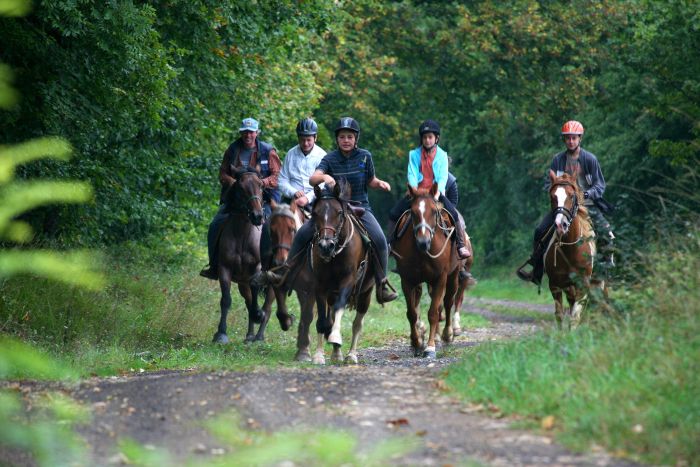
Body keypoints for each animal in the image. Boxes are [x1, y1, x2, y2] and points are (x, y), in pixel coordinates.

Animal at [212, 168, 270, 344]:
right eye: (241, 188)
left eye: (261, 185)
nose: (257, 216)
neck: (243, 235)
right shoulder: (224, 268)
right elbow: (226, 300)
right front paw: (221, 334)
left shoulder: (257, 269)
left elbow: (256, 295)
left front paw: (258, 315)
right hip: (242, 282)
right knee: (249, 300)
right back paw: (250, 336)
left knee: (268, 304)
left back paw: (259, 335)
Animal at [308, 183, 374, 366]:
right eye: (315, 213)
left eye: (338, 213)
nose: (325, 245)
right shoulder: (320, 285)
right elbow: (322, 321)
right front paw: (318, 355)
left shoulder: (348, 281)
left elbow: (339, 309)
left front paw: (336, 337)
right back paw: (336, 353)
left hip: (366, 293)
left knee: (357, 324)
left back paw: (351, 355)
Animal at [392, 183, 462, 358]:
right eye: (413, 212)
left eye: (433, 211)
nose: (423, 242)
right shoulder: (407, 280)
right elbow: (412, 313)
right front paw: (416, 343)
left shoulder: (439, 279)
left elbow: (433, 313)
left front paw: (430, 347)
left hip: (453, 277)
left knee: (448, 302)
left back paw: (447, 334)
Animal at [544, 171, 592, 330]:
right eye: (552, 196)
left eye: (571, 196)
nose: (560, 225)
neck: (570, 250)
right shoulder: (555, 284)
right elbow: (559, 314)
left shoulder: (583, 285)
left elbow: (575, 316)